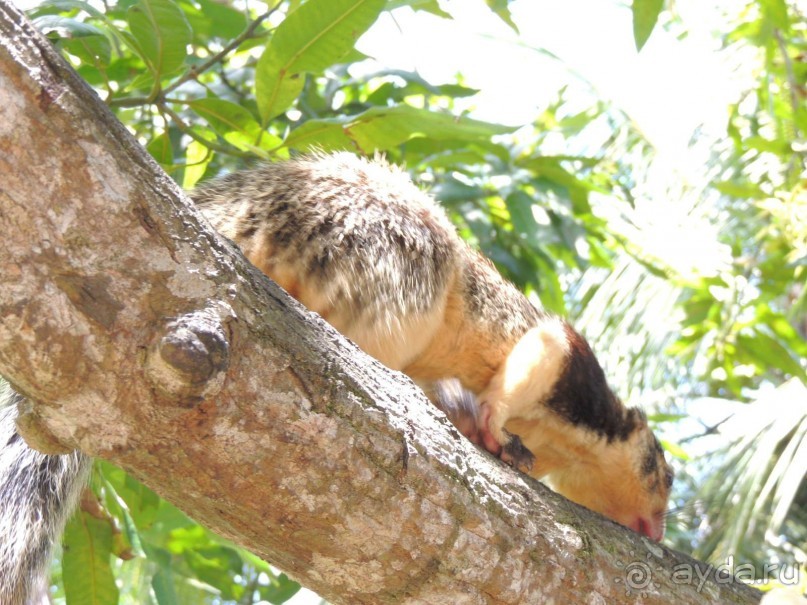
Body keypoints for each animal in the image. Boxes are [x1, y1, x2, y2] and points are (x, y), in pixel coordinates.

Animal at [1, 152, 676, 604]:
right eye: (663, 475)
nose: (661, 528)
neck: (567, 445)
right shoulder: (575, 377)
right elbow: (537, 354)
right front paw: (490, 425)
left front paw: (475, 423)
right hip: (389, 260)